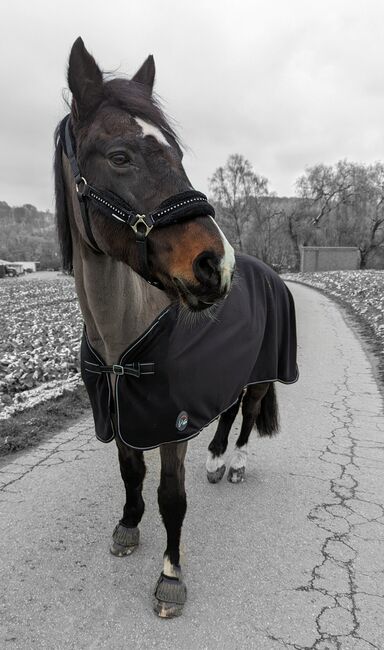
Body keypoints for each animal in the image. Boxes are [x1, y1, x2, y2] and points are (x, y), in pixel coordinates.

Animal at [54, 36, 288, 616]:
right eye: (120, 156)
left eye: (178, 155)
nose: (215, 264)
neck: (120, 338)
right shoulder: (124, 413)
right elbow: (130, 473)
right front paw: (127, 526)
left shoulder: (170, 424)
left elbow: (171, 498)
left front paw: (170, 576)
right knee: (227, 413)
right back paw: (216, 460)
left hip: (260, 374)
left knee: (249, 415)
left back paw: (236, 463)